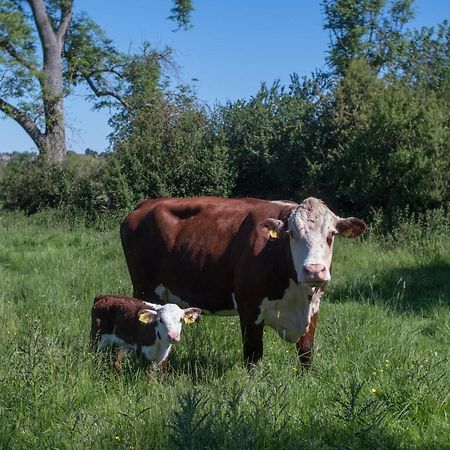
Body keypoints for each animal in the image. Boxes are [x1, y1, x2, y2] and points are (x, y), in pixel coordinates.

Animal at [119, 197, 366, 370]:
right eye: (292, 234)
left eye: (331, 234)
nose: (314, 270)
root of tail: (146, 205)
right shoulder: (249, 307)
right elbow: (253, 354)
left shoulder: (313, 307)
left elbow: (306, 352)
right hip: (144, 288)